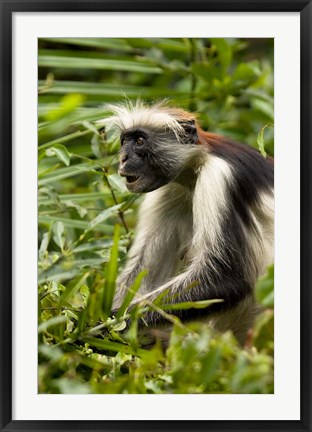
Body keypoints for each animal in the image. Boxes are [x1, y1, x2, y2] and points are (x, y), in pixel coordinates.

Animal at [102, 101, 272, 344]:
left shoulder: (218, 177)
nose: (123, 158)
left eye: (140, 141)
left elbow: (228, 279)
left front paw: (106, 325)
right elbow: (144, 268)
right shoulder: (170, 188)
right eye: (124, 141)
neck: (200, 162)